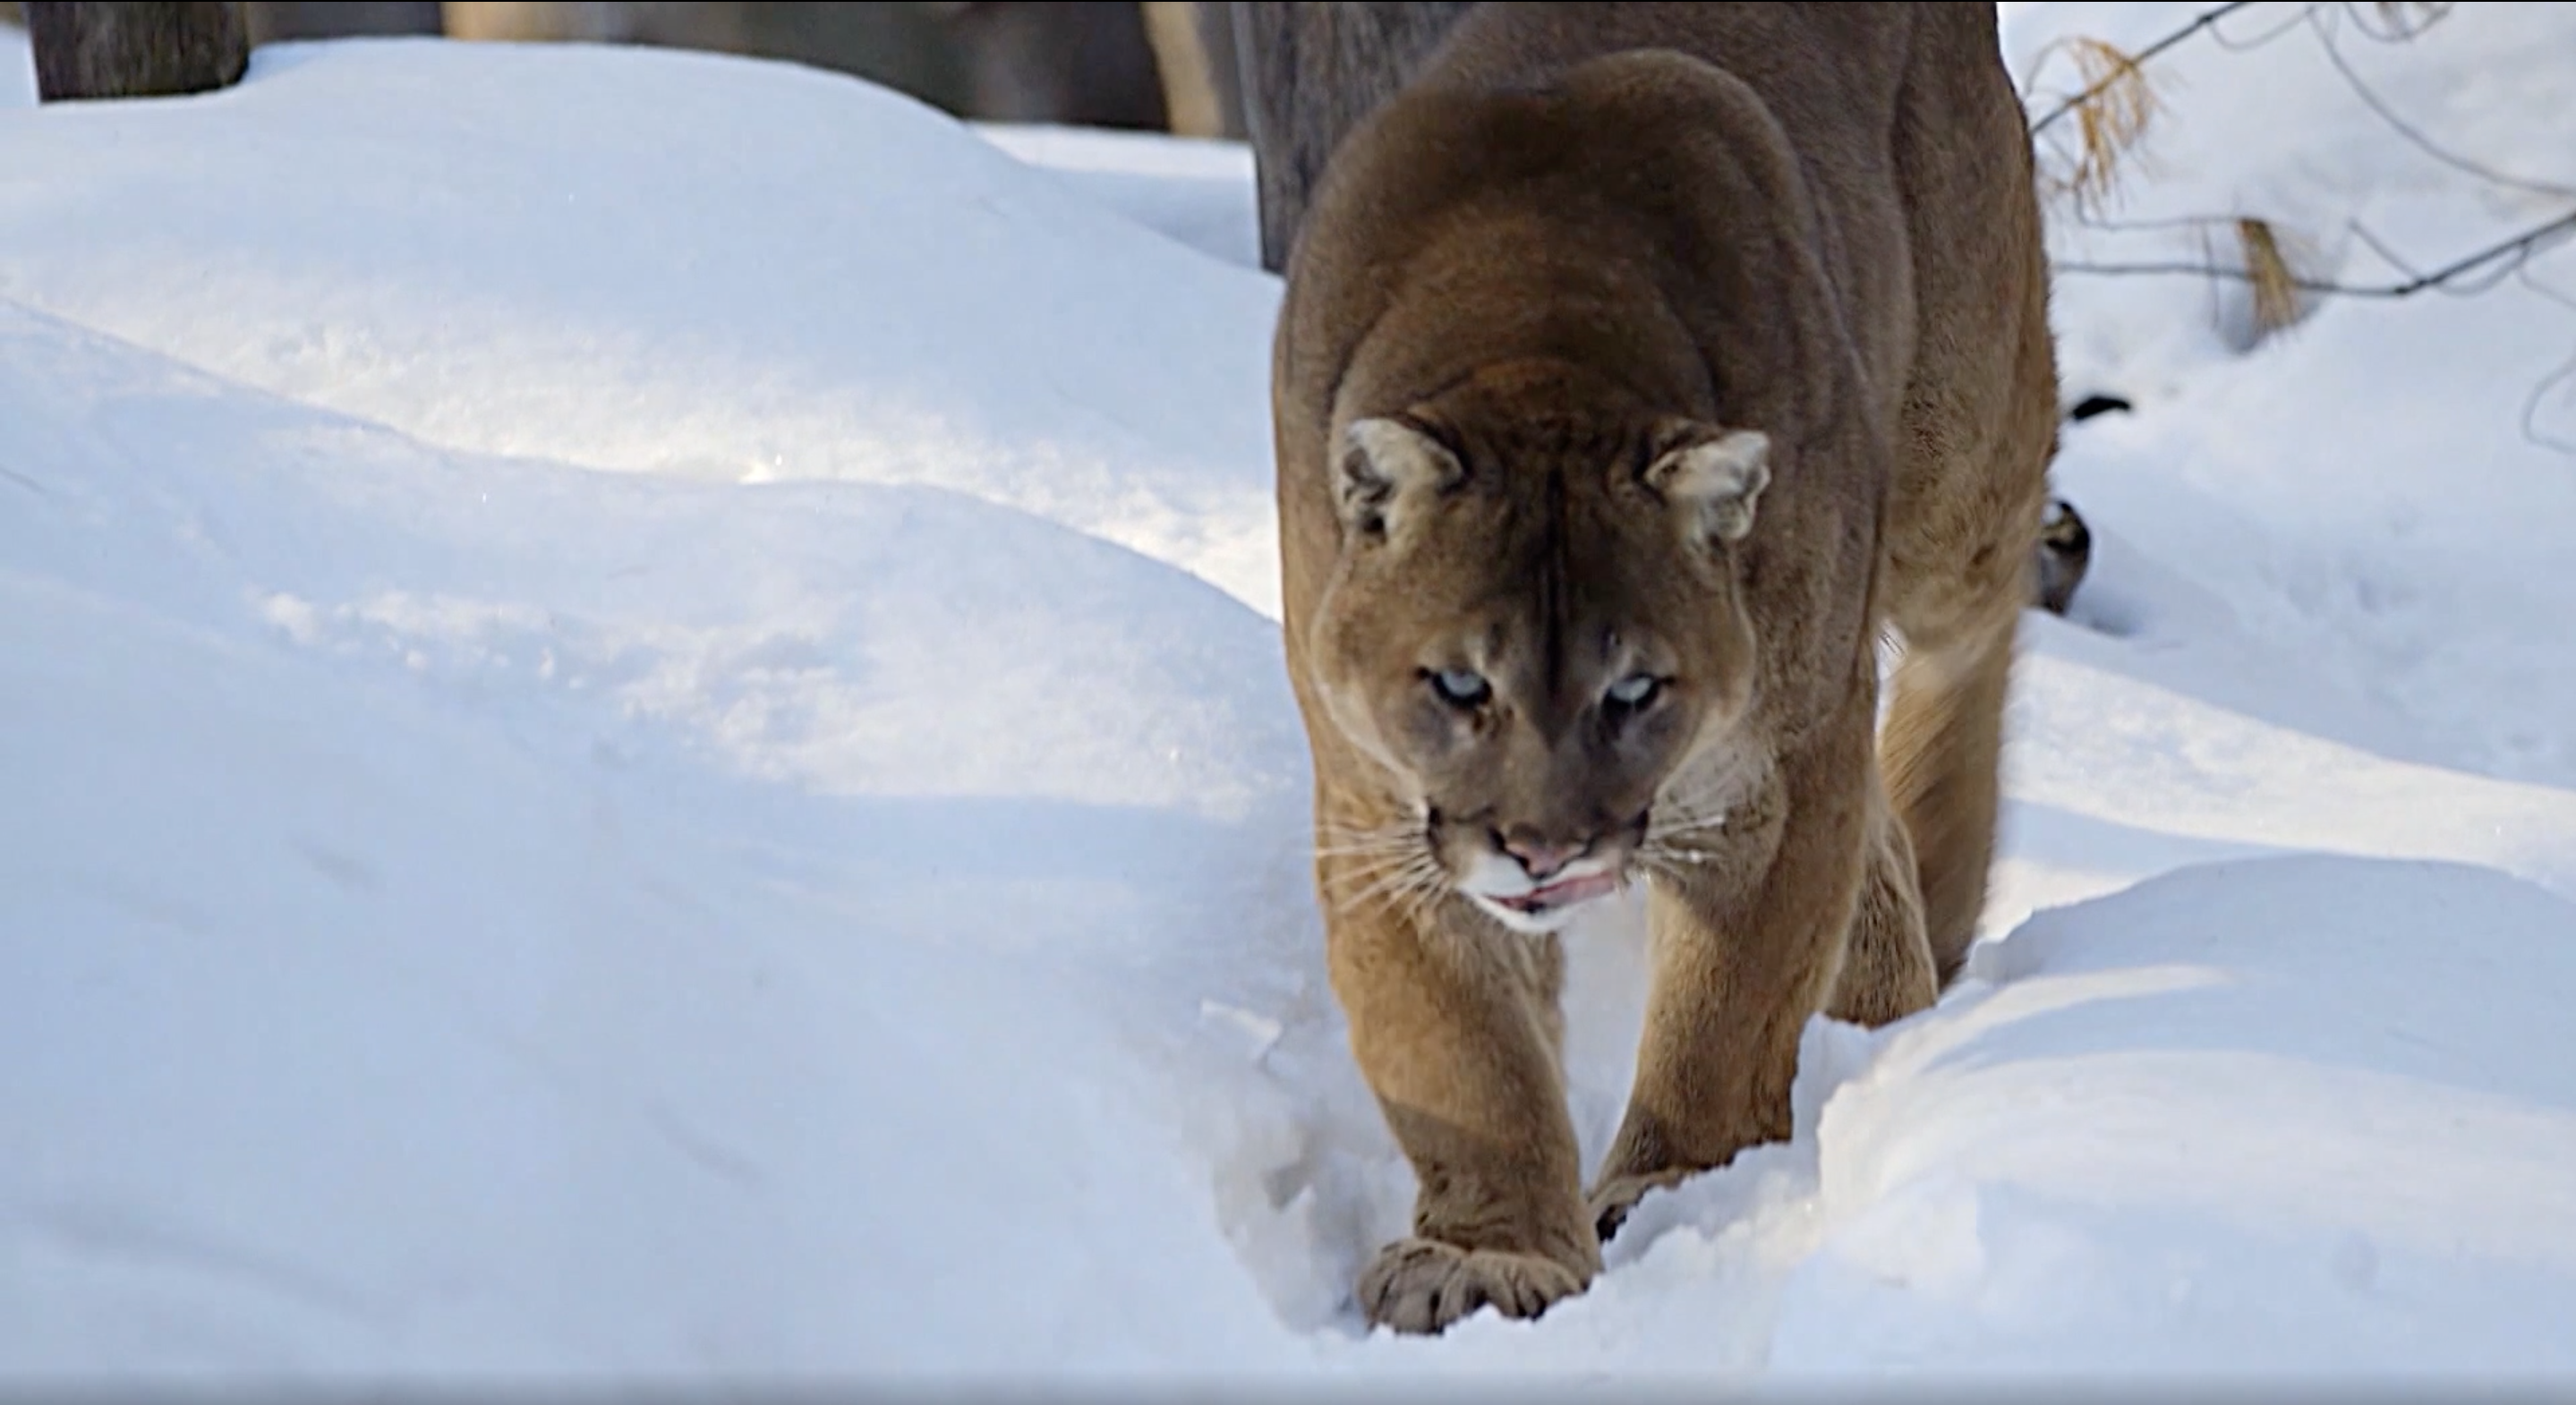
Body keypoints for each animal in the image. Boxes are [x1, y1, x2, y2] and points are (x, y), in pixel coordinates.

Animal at [1267, 4, 2059, 1334]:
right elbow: (1457, 1050)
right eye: (1458, 686)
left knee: (1978, 619)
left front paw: (1671, 1192)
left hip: (1953, 449)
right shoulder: (1377, 803)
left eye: (1632, 689)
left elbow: (1722, 1018)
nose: (1543, 850)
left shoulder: (1767, 774)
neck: (1531, 323)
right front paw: (1491, 1250)